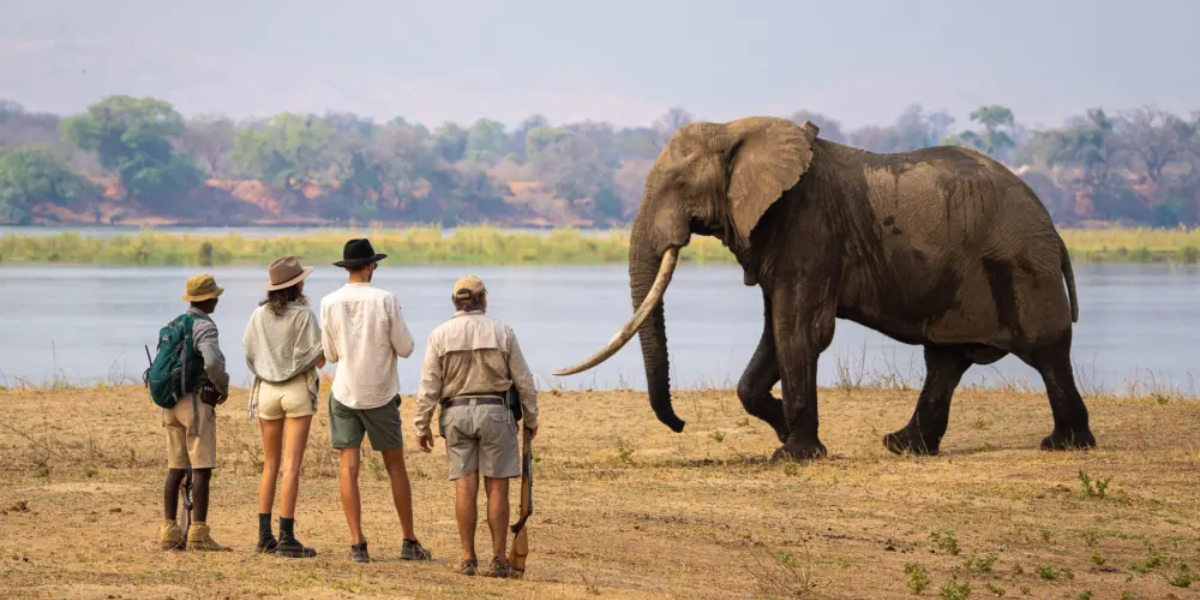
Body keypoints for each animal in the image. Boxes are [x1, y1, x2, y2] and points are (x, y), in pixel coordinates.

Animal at [552, 115, 1099, 458]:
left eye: (680, 187)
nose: (683, 424)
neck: (738, 129)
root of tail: (1054, 229)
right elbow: (774, 333)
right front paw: (782, 430)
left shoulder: (808, 227)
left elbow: (798, 330)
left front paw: (794, 454)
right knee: (945, 360)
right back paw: (902, 446)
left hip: (1024, 268)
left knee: (1047, 352)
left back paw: (1065, 445)